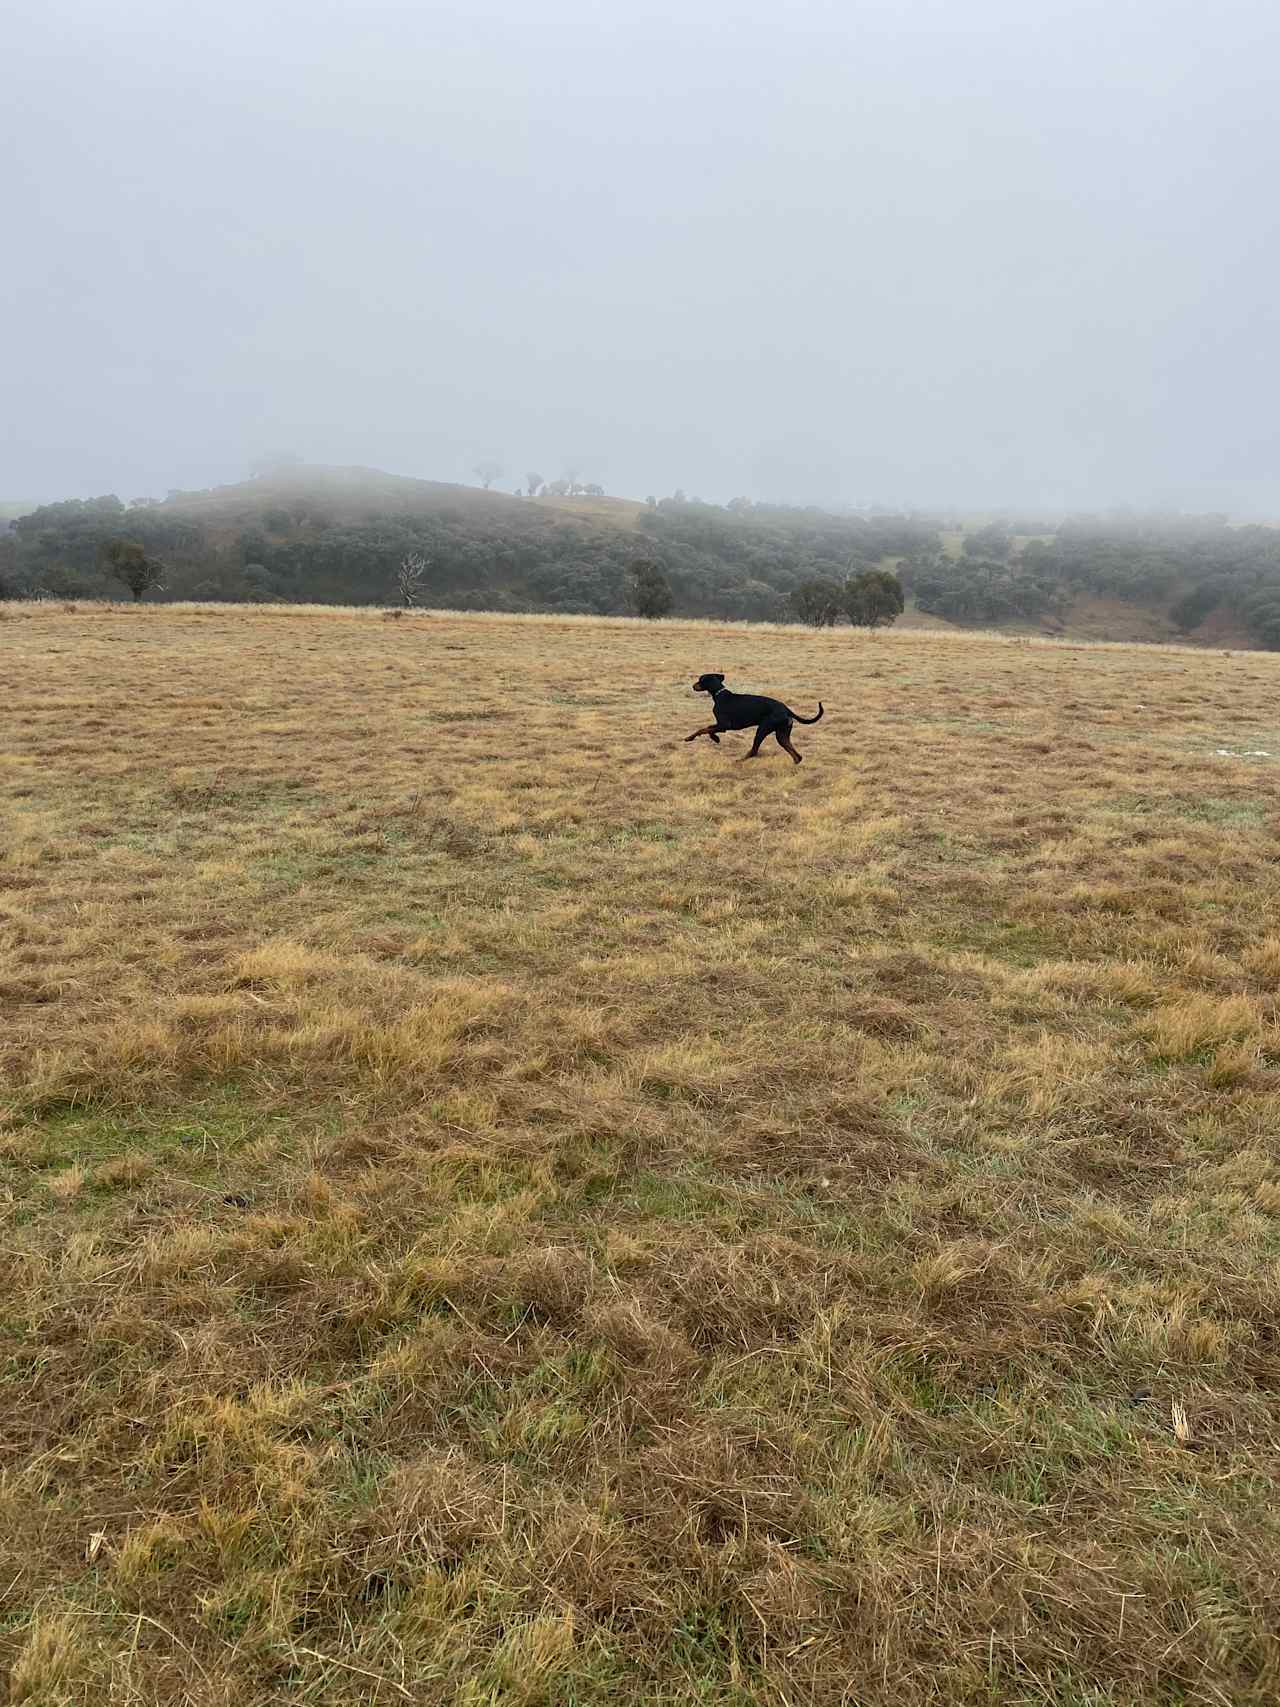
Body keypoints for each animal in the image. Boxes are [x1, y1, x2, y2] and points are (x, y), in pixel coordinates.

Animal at [686, 672, 826, 768]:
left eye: (700, 679)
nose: (693, 686)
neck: (719, 695)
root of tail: (787, 709)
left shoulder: (725, 725)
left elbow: (703, 729)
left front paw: (690, 738)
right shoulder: (721, 725)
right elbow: (709, 728)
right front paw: (715, 738)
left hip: (762, 729)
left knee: (754, 751)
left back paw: (738, 761)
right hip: (782, 734)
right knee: (797, 756)